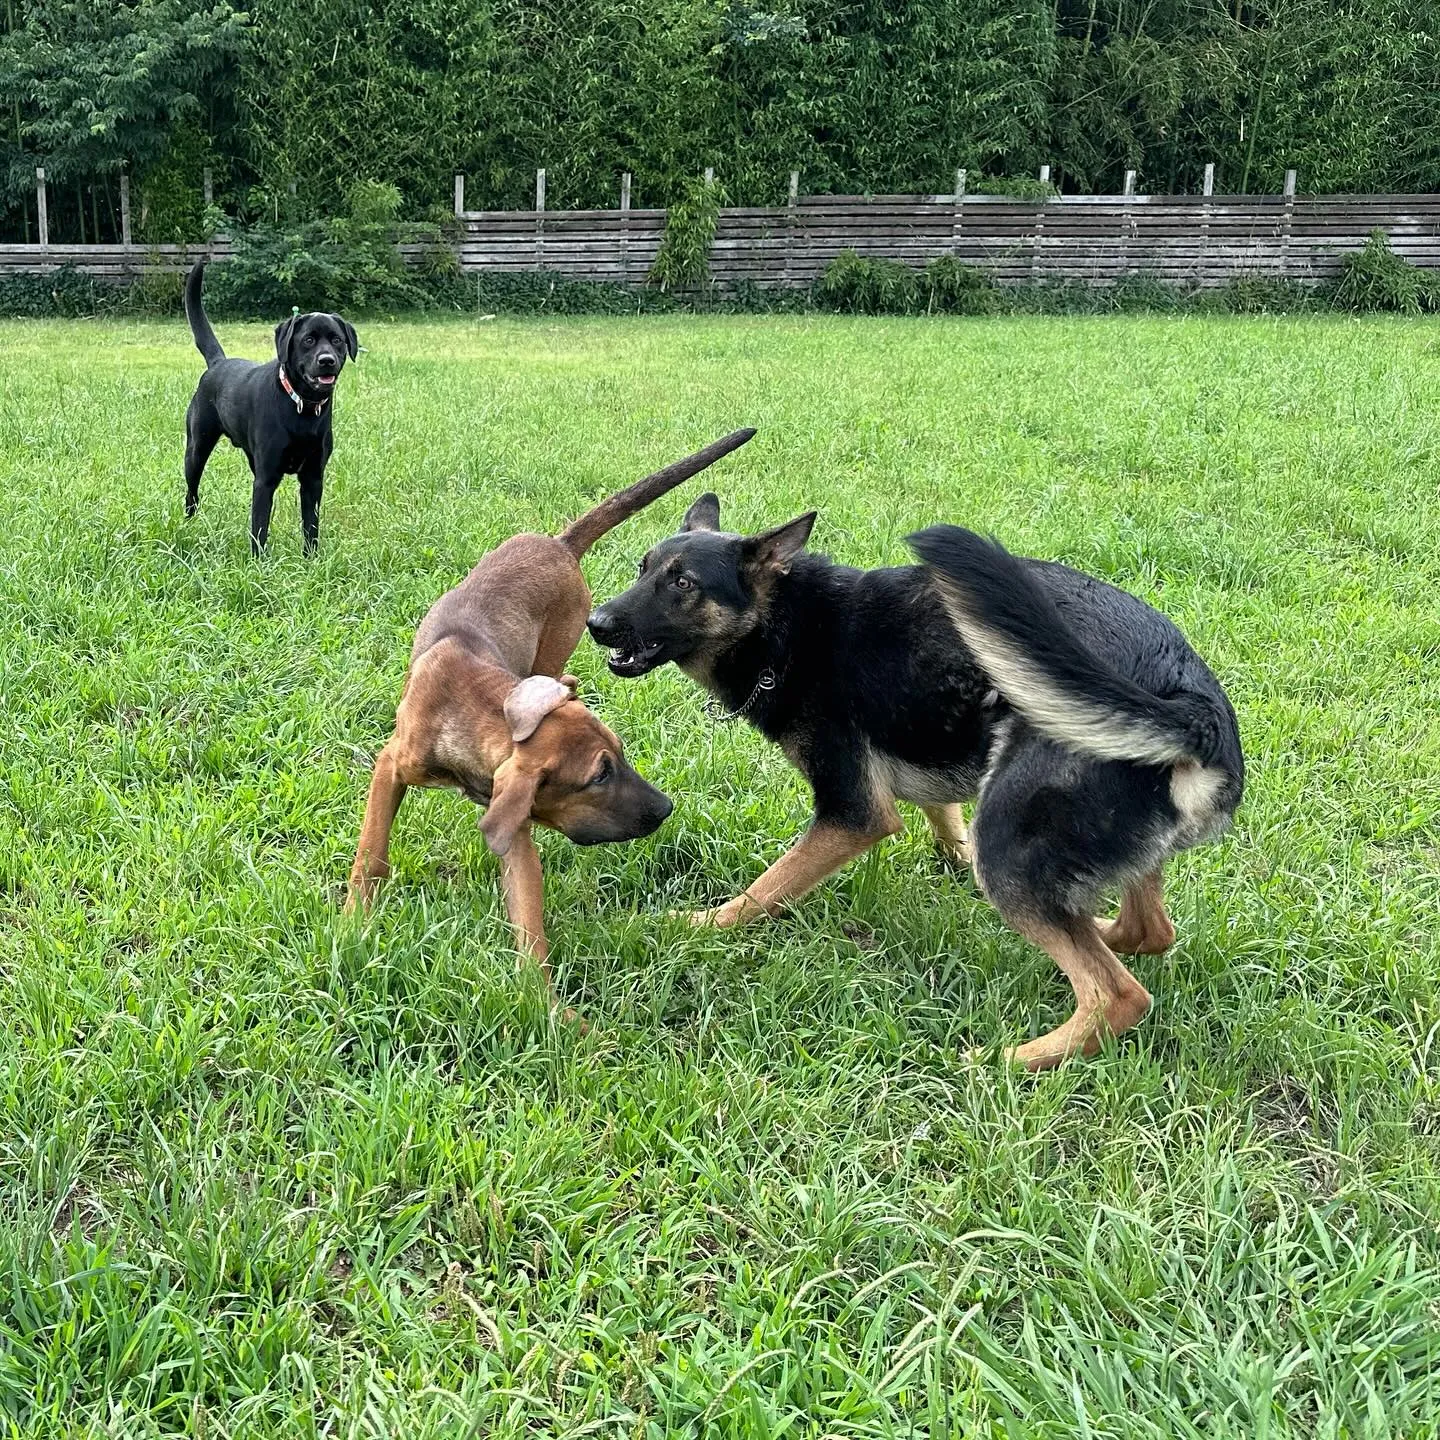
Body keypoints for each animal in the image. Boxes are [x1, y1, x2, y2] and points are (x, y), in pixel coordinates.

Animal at [180, 262, 360, 552]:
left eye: (337, 340)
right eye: (308, 340)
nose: (327, 361)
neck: (301, 408)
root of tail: (218, 363)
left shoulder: (313, 477)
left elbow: (311, 525)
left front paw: (311, 558)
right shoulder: (265, 480)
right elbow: (259, 526)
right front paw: (259, 560)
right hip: (196, 449)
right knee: (191, 491)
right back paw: (189, 523)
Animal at [345, 426, 754, 1002]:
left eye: (622, 755)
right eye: (599, 775)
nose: (666, 808)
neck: (477, 707)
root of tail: (559, 544)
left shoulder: (509, 815)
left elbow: (527, 916)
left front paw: (545, 1005)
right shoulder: (391, 766)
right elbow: (372, 850)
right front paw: (354, 922)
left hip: (556, 646)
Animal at [590, 498, 1244, 1071]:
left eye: (683, 583)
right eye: (643, 569)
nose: (596, 623)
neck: (787, 627)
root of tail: (1193, 709)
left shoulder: (852, 814)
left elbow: (764, 889)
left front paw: (697, 928)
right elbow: (945, 820)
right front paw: (952, 857)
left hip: (1010, 845)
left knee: (1117, 992)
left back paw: (1007, 1060)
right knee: (1146, 930)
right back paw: (1088, 925)